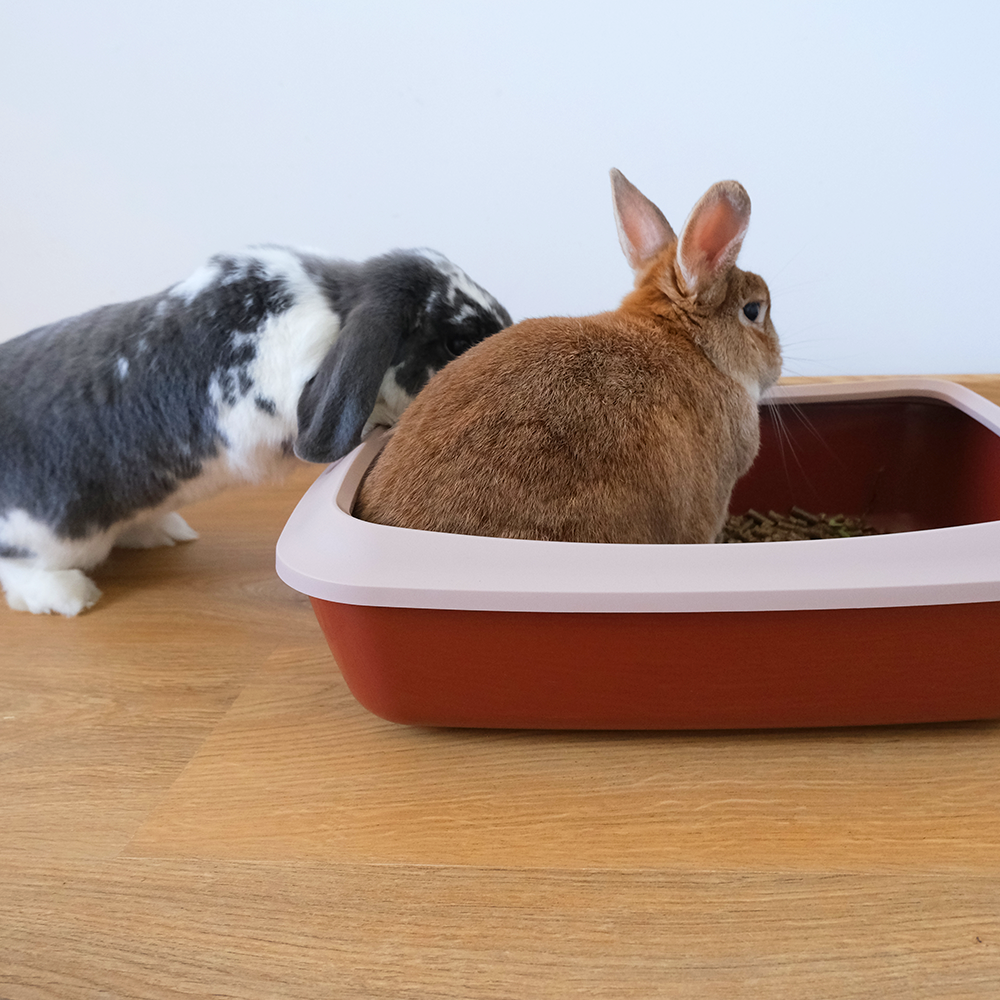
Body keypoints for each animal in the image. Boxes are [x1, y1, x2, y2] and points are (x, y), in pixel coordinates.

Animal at [0, 245, 511, 615]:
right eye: (457, 342)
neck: (335, 310)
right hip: (50, 534)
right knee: (19, 567)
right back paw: (70, 596)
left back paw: (162, 531)